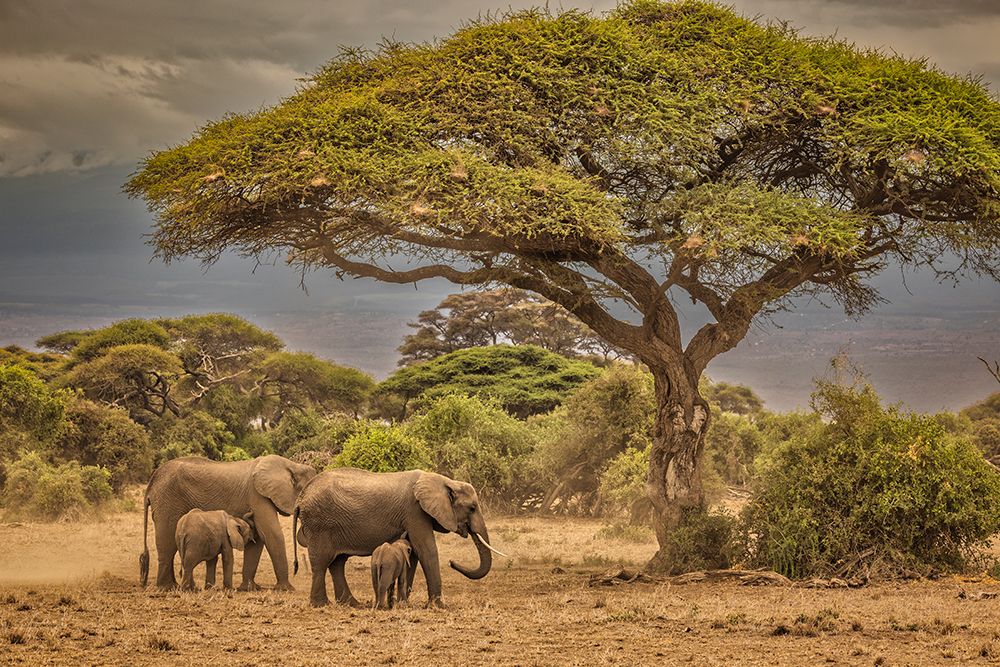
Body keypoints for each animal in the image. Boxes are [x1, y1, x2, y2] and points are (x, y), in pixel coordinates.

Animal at [139, 455, 316, 591]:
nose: (296, 567)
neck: (291, 465)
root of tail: (151, 483)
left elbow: (258, 540)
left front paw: (248, 589)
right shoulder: (257, 495)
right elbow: (272, 534)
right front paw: (287, 589)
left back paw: (174, 586)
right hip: (168, 502)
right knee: (167, 544)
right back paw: (167, 588)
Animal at [293, 468, 504, 608]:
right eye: (472, 508)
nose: (452, 562)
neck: (445, 481)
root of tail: (300, 499)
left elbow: (414, 555)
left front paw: (404, 603)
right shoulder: (415, 511)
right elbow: (426, 550)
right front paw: (439, 607)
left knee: (337, 563)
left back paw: (351, 604)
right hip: (320, 524)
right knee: (322, 562)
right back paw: (321, 605)